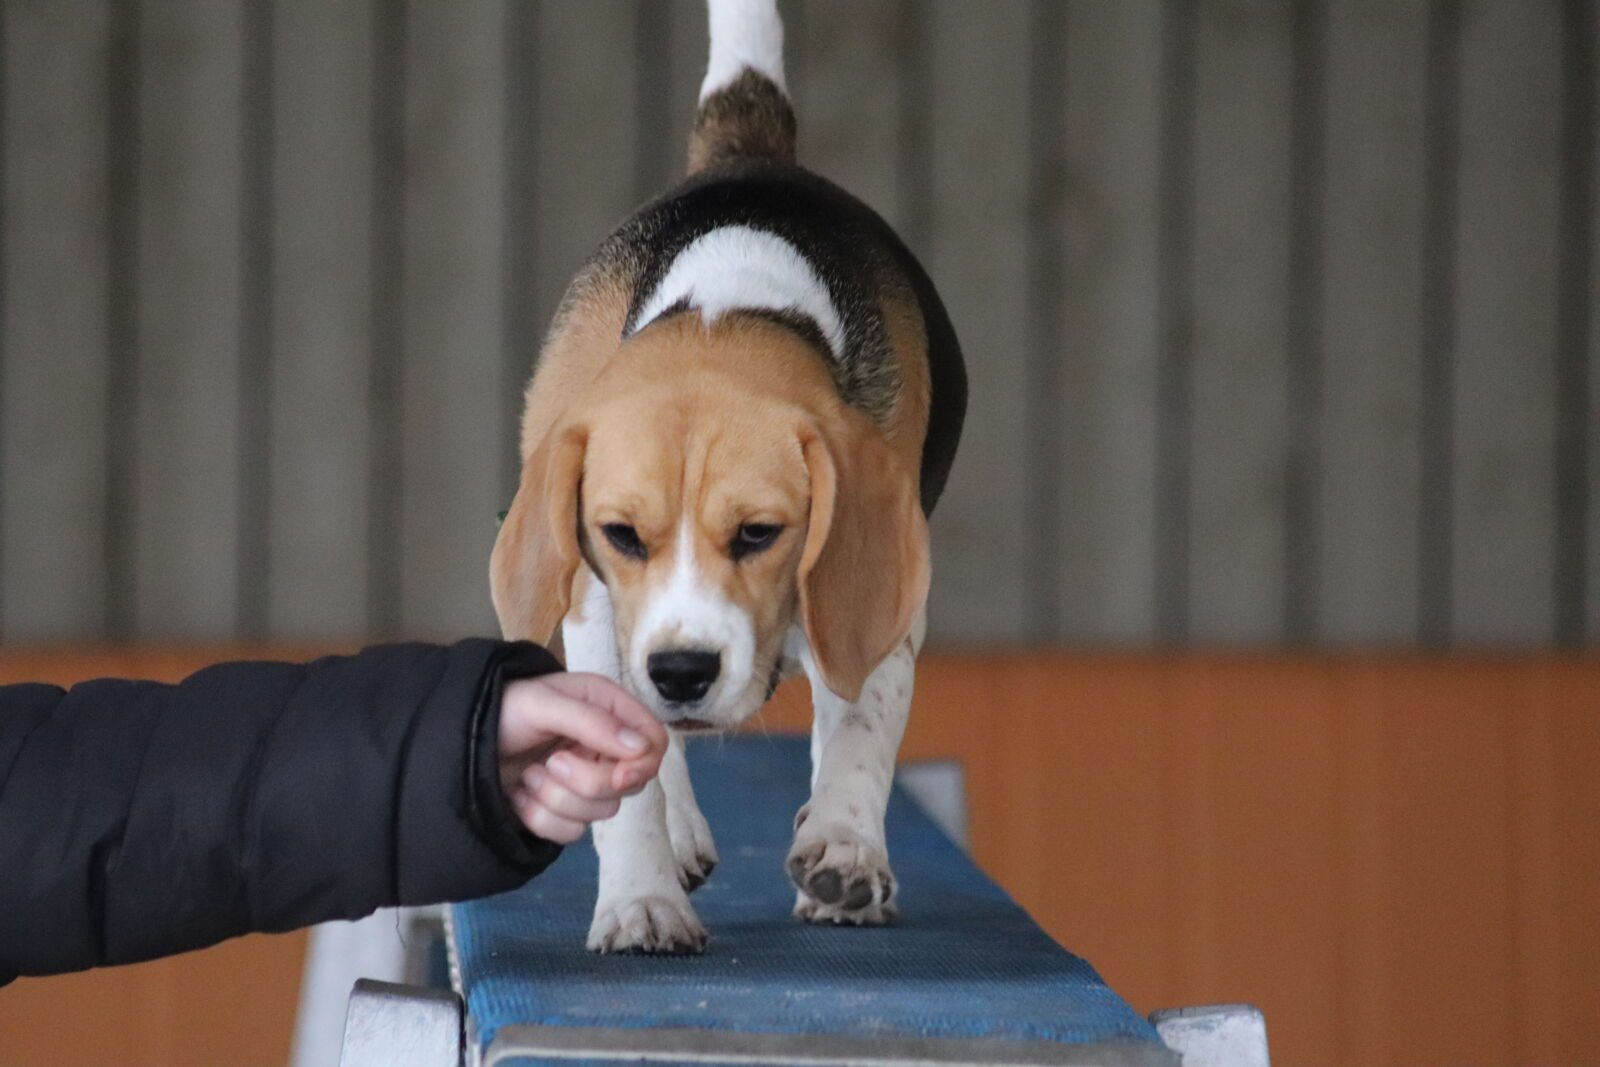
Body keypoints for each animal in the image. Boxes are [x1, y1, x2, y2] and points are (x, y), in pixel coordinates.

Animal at [490, 0, 966, 954]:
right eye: (621, 533)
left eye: (758, 533)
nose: (682, 672)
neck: (728, 311)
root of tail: (750, 157)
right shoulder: (595, 599)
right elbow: (627, 765)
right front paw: (641, 897)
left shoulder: (882, 595)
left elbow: (863, 716)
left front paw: (844, 844)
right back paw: (677, 830)